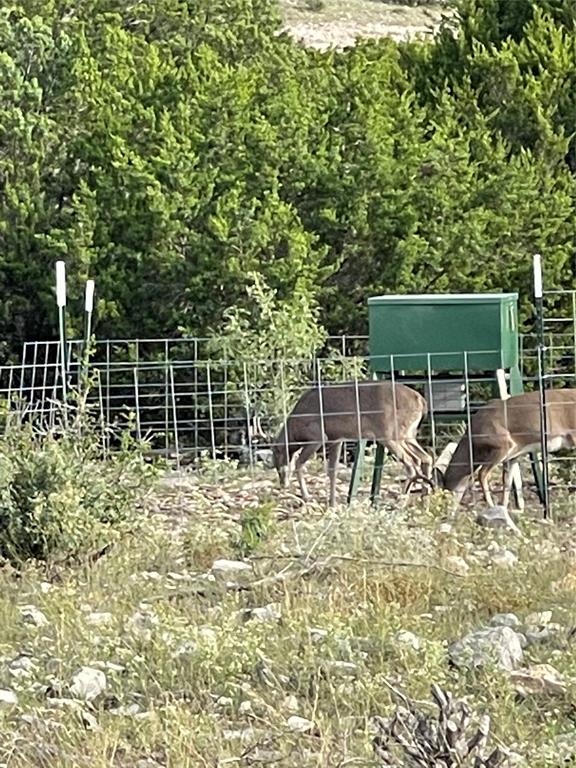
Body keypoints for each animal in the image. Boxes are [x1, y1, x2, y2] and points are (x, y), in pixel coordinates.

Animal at [270, 380, 432, 504]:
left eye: (277, 461)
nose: (283, 484)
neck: (294, 430)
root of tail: (421, 401)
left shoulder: (318, 436)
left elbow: (299, 464)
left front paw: (307, 497)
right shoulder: (337, 439)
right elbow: (332, 470)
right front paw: (332, 502)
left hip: (389, 434)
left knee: (410, 462)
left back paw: (402, 499)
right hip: (407, 434)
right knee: (425, 458)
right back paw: (426, 494)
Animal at [438, 388, 576, 508]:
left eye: (445, 493)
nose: (445, 513)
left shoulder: (503, 444)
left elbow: (482, 474)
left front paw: (491, 505)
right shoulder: (513, 456)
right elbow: (507, 482)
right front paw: (503, 509)